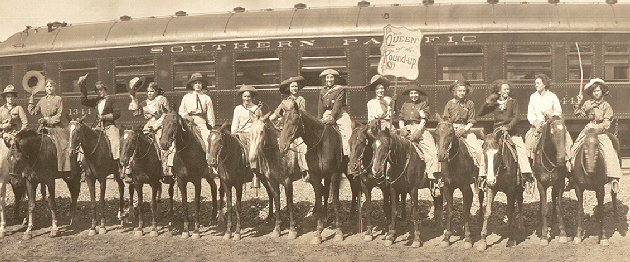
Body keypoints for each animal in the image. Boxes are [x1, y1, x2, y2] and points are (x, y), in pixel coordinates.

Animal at [278, 102, 350, 244]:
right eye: (282, 122)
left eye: (294, 122)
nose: (282, 146)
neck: (320, 144)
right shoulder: (316, 177)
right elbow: (319, 199)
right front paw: (318, 233)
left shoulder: (334, 174)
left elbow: (336, 202)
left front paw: (339, 232)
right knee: (326, 193)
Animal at [436, 113, 486, 249]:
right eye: (437, 132)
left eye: (450, 133)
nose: (441, 156)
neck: (455, 161)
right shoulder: (448, 187)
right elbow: (450, 212)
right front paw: (446, 237)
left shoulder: (465, 187)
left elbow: (465, 212)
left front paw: (468, 238)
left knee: (480, 198)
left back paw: (480, 221)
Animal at [532, 115, 572, 245]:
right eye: (552, 132)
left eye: (564, 131)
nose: (561, 159)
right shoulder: (541, 184)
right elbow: (544, 209)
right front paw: (544, 236)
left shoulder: (560, 183)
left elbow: (560, 208)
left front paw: (563, 234)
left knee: (554, 197)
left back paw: (554, 218)